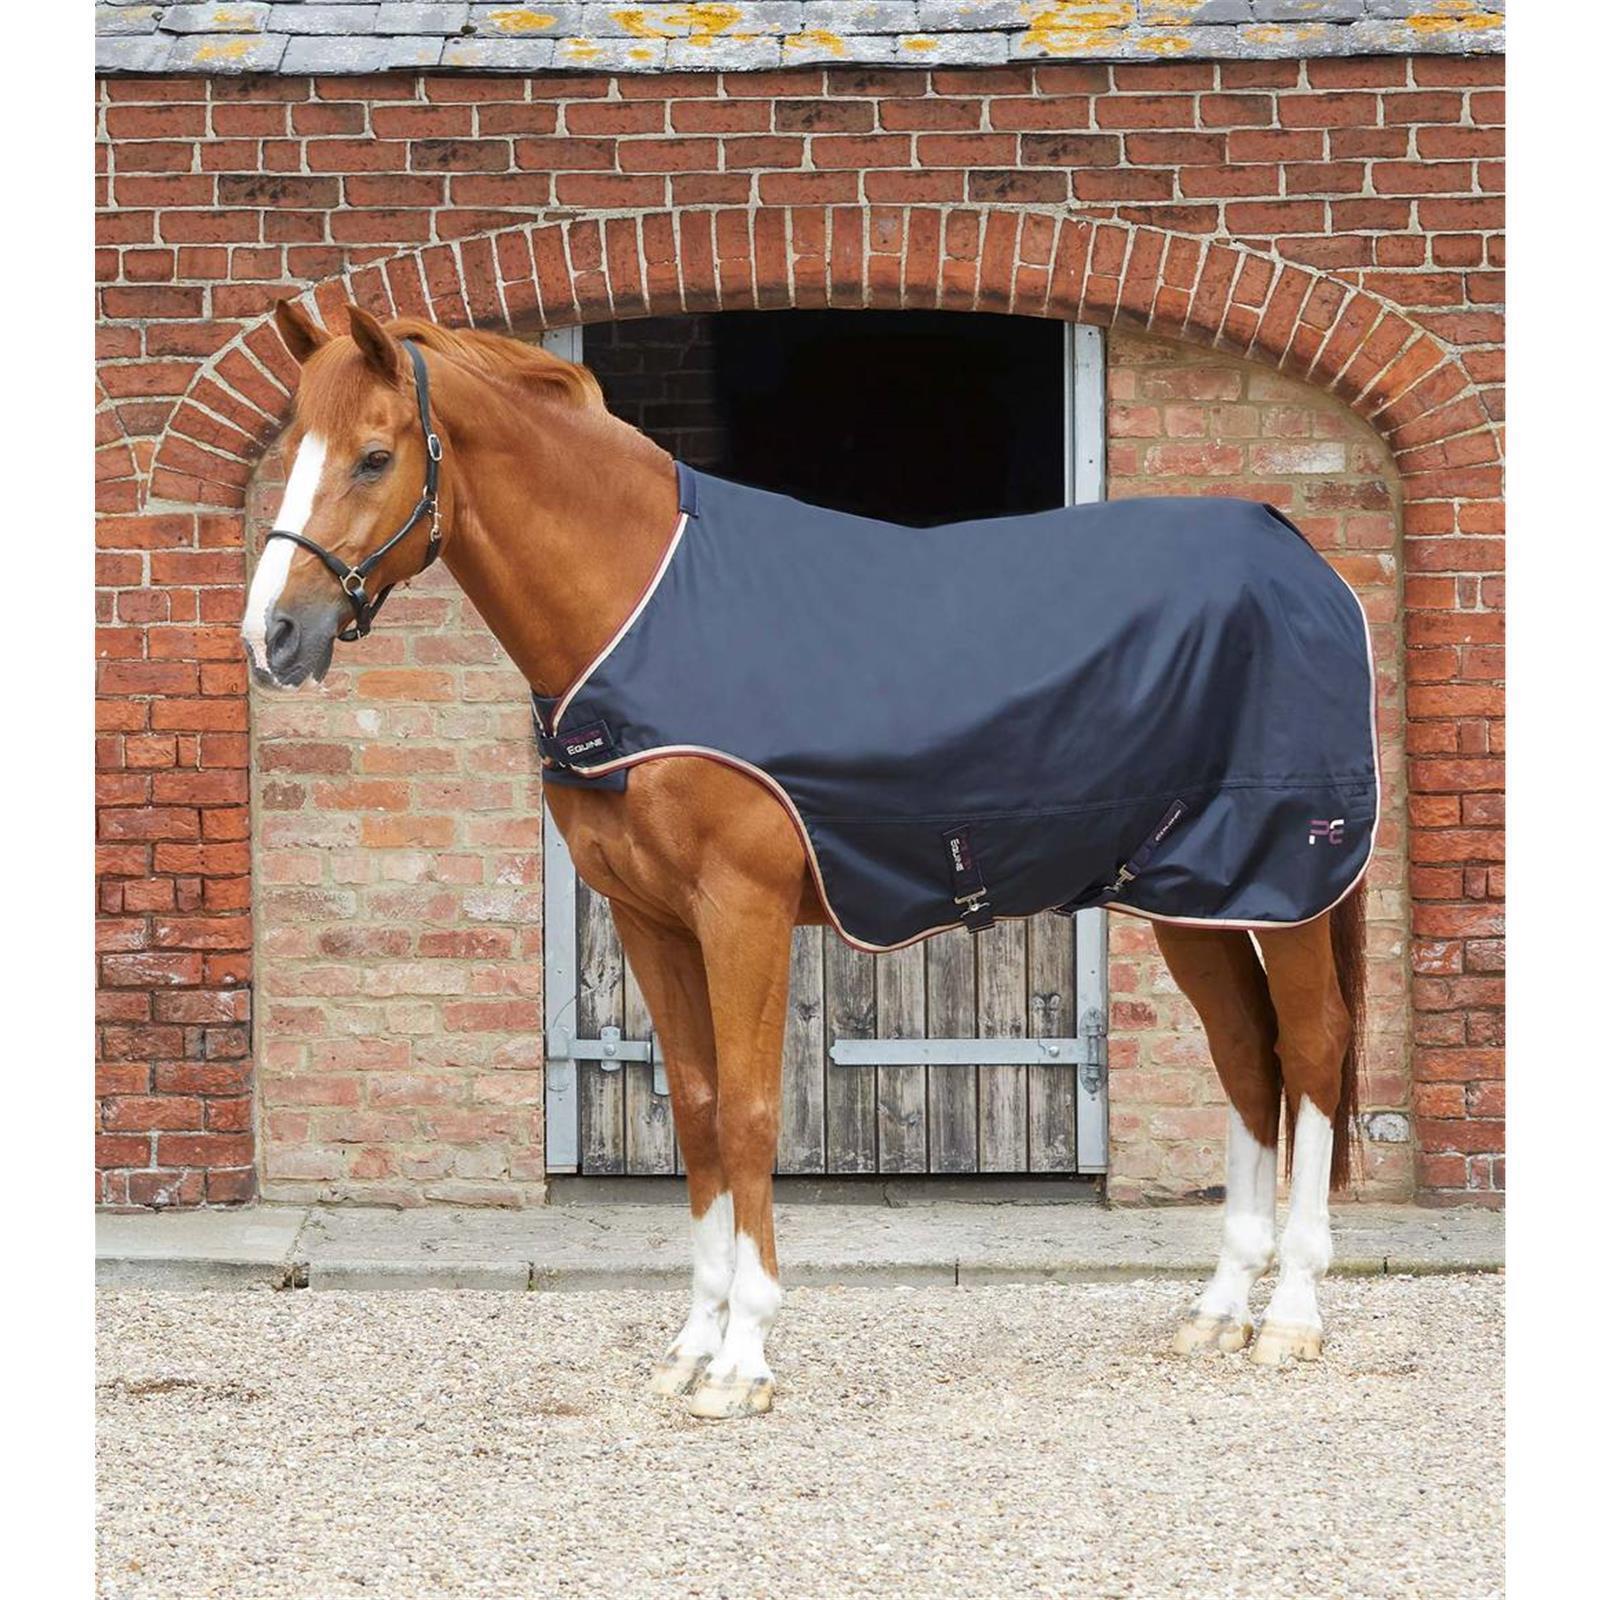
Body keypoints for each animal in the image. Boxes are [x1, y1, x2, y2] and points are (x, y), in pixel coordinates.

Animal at [243, 300, 1368, 1421]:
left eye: (374, 456)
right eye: (291, 450)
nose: (273, 636)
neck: (643, 612)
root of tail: (1300, 560)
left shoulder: (740, 910)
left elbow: (749, 1115)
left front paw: (744, 1359)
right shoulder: (650, 919)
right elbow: (698, 1112)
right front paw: (692, 1346)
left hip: (1288, 884)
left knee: (1312, 1046)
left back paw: (1293, 1316)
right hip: (1196, 893)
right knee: (1245, 1056)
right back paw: (1220, 1310)